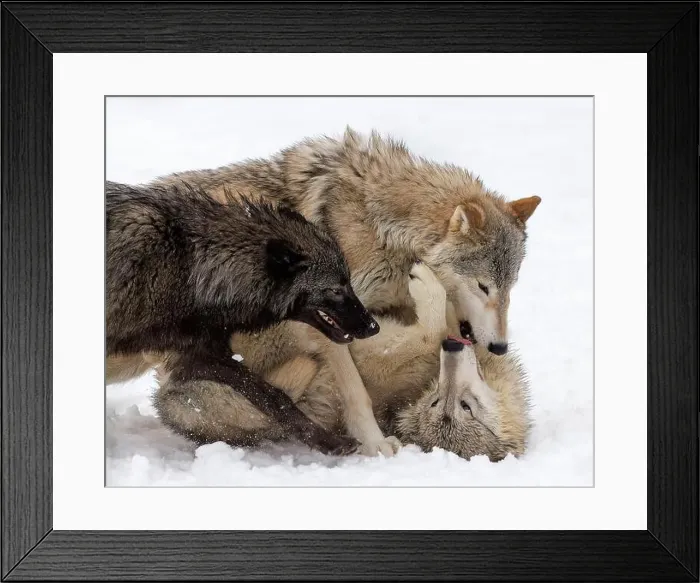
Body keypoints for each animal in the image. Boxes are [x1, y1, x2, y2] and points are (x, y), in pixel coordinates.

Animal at [106, 180, 380, 455]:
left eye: (349, 282)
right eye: (336, 289)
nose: (373, 327)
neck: (190, 266)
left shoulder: (198, 358)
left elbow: (274, 397)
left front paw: (328, 441)